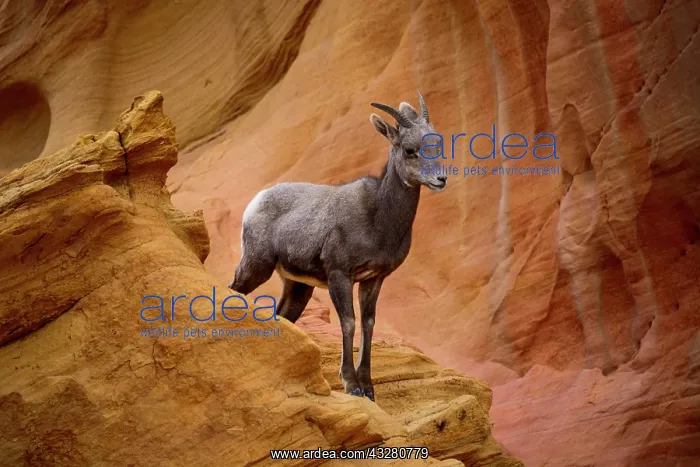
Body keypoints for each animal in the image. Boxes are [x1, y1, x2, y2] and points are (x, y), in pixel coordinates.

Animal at [228, 92, 447, 401]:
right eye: (409, 150)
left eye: (438, 143)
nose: (441, 179)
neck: (378, 218)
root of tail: (257, 200)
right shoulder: (339, 275)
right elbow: (349, 322)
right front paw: (351, 386)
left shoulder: (374, 279)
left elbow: (368, 324)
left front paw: (368, 389)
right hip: (256, 266)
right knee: (234, 290)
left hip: (298, 287)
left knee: (282, 316)